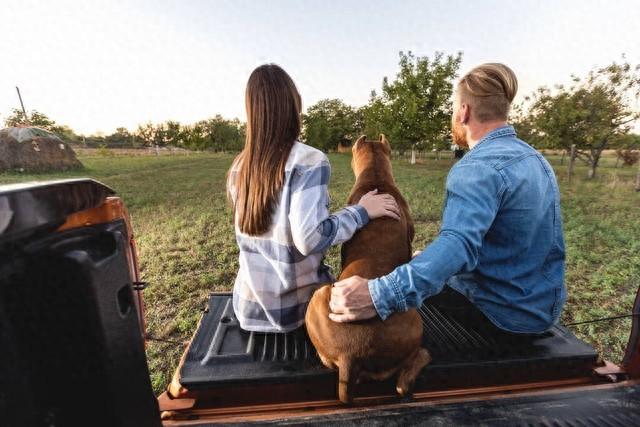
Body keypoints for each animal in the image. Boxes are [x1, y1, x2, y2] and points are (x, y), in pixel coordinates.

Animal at [304, 135, 430, 404]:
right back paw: (423, 355)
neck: (376, 178)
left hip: (319, 295)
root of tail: (350, 356)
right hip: (413, 320)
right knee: (404, 382)